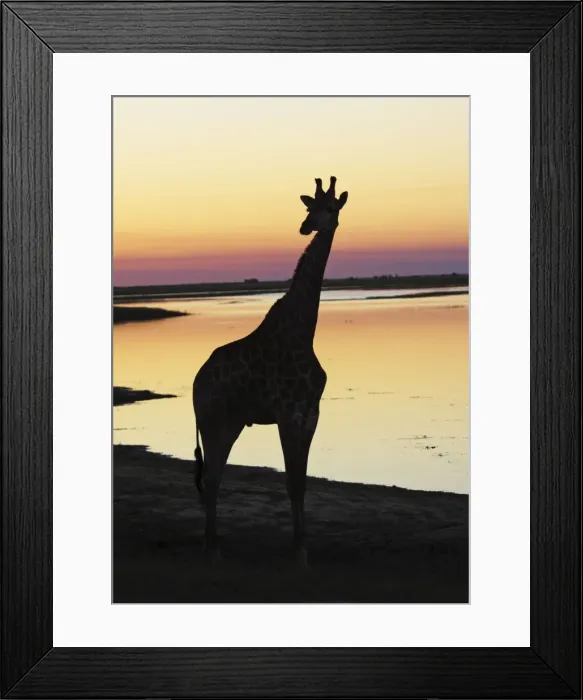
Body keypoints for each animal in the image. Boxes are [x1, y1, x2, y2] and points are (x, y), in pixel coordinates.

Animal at [192, 177, 349, 562]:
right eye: (309, 207)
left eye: (330, 208)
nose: (306, 226)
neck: (304, 331)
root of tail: (195, 383)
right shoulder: (287, 413)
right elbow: (291, 482)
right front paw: (298, 552)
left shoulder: (310, 413)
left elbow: (301, 483)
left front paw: (303, 547)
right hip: (213, 421)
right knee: (212, 479)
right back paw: (212, 549)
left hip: (231, 423)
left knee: (213, 478)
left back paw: (211, 544)